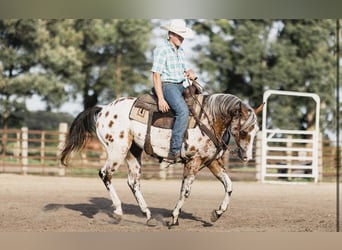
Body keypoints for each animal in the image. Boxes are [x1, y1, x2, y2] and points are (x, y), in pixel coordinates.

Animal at [60, 92, 264, 229]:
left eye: (256, 130)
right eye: (243, 131)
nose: (247, 157)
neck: (209, 119)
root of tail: (104, 109)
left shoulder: (211, 162)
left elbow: (229, 186)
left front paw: (217, 214)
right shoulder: (193, 162)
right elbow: (185, 191)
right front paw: (174, 218)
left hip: (133, 153)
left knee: (133, 182)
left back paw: (148, 216)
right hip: (117, 151)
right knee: (105, 174)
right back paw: (118, 212)